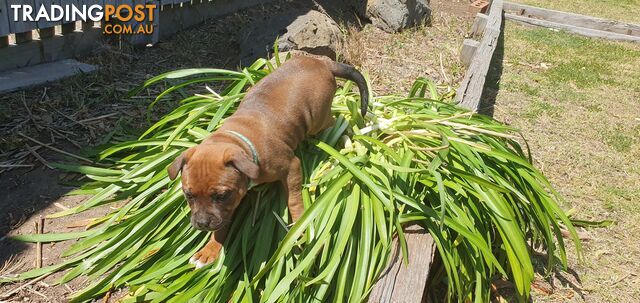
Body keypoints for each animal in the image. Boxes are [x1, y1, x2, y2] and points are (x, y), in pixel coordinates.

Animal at [168, 56, 368, 268]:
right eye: (188, 195)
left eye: (221, 195)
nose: (202, 223)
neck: (240, 141)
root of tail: (322, 62)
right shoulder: (230, 204)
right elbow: (221, 225)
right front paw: (210, 250)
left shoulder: (291, 167)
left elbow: (294, 200)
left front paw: (300, 226)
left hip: (318, 118)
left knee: (335, 121)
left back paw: (343, 132)